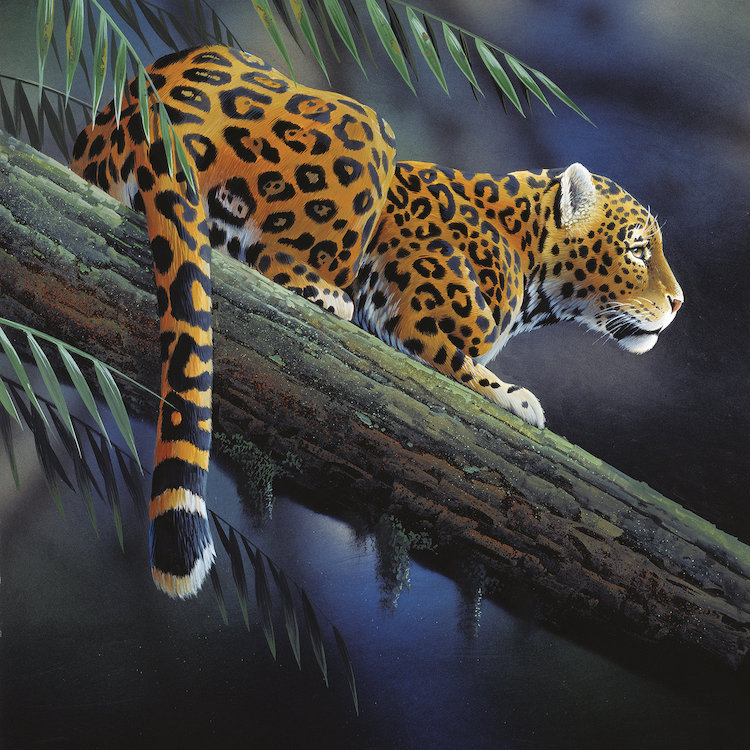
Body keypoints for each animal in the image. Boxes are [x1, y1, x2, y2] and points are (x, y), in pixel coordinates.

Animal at [69, 45, 682, 598]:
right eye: (636, 249)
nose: (677, 302)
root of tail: (149, 110)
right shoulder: (416, 313)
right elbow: (464, 360)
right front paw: (516, 398)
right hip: (368, 131)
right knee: (270, 256)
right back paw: (330, 296)